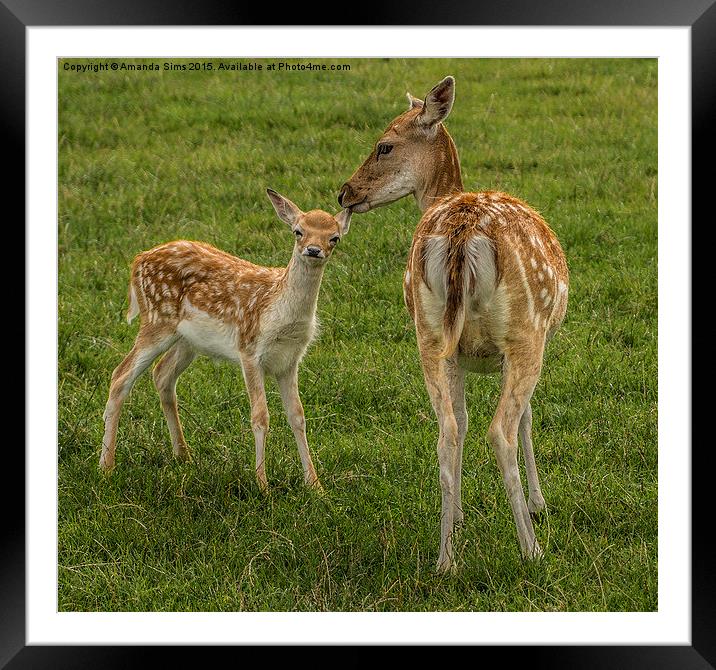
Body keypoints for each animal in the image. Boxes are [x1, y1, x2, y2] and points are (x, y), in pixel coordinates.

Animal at [100, 189, 352, 494]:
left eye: (334, 237)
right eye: (298, 231)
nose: (314, 250)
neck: (278, 308)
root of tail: (137, 260)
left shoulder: (290, 360)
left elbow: (298, 416)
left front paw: (315, 485)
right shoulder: (250, 348)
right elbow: (260, 416)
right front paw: (262, 485)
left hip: (188, 340)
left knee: (162, 374)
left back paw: (183, 455)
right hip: (157, 321)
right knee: (120, 375)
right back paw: (106, 467)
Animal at [338, 77, 568, 572]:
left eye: (384, 145)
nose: (343, 192)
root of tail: (463, 236)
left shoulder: (461, 355)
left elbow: (461, 420)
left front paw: (459, 515)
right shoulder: (527, 343)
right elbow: (527, 417)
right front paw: (539, 505)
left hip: (429, 336)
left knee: (446, 431)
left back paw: (445, 559)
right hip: (525, 332)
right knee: (500, 430)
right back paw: (531, 550)